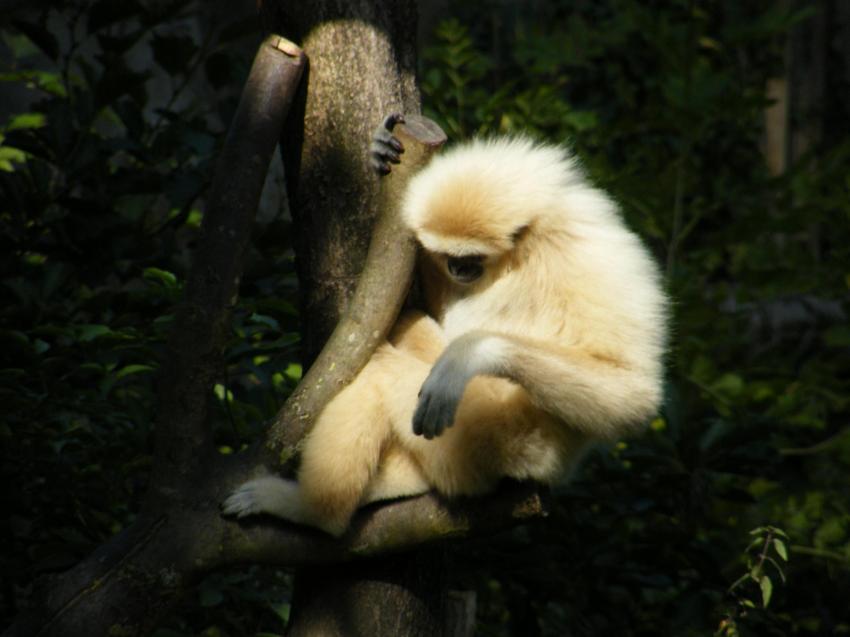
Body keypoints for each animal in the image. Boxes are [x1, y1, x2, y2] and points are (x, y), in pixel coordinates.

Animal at [222, 115, 668, 537]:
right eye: (450, 256)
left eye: (471, 257)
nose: (457, 268)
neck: (530, 247)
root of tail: (544, 466)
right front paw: (379, 152)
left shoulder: (585, 255)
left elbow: (632, 392)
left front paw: (469, 355)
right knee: (408, 325)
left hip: (487, 433)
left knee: (378, 372)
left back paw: (316, 512)